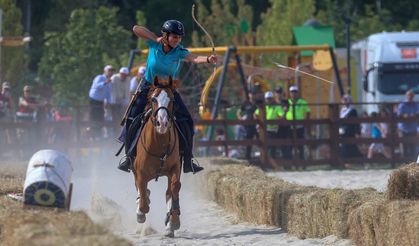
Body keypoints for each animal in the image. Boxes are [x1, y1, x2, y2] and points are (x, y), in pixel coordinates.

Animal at [134, 76, 181, 237]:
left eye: (172, 99)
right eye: (154, 99)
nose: (163, 123)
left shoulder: (175, 168)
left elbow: (174, 188)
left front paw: (173, 221)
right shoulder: (140, 173)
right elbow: (143, 200)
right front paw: (140, 212)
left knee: (169, 192)